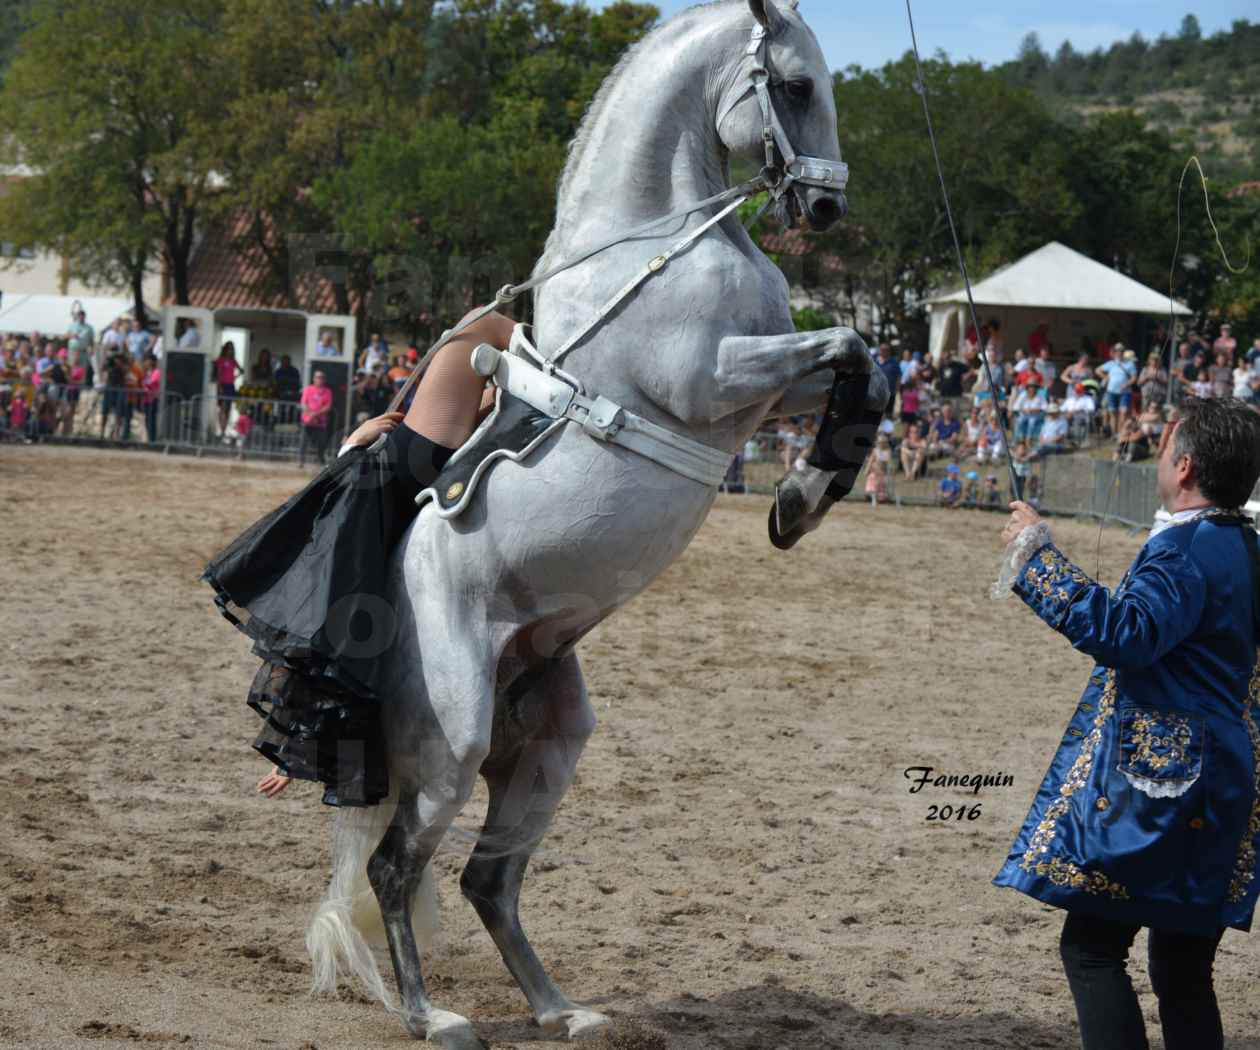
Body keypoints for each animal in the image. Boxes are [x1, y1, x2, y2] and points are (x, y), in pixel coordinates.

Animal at [307, 4, 887, 1043]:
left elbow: (872, 371)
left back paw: (559, 1007)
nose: (824, 209)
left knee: (488, 879)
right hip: (453, 742)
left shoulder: (763, 392)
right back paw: (432, 1015)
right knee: (396, 866)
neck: (650, 243)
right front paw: (802, 496)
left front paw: (805, 493)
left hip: (550, 744)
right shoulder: (713, 380)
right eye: (794, 87)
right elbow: (854, 341)